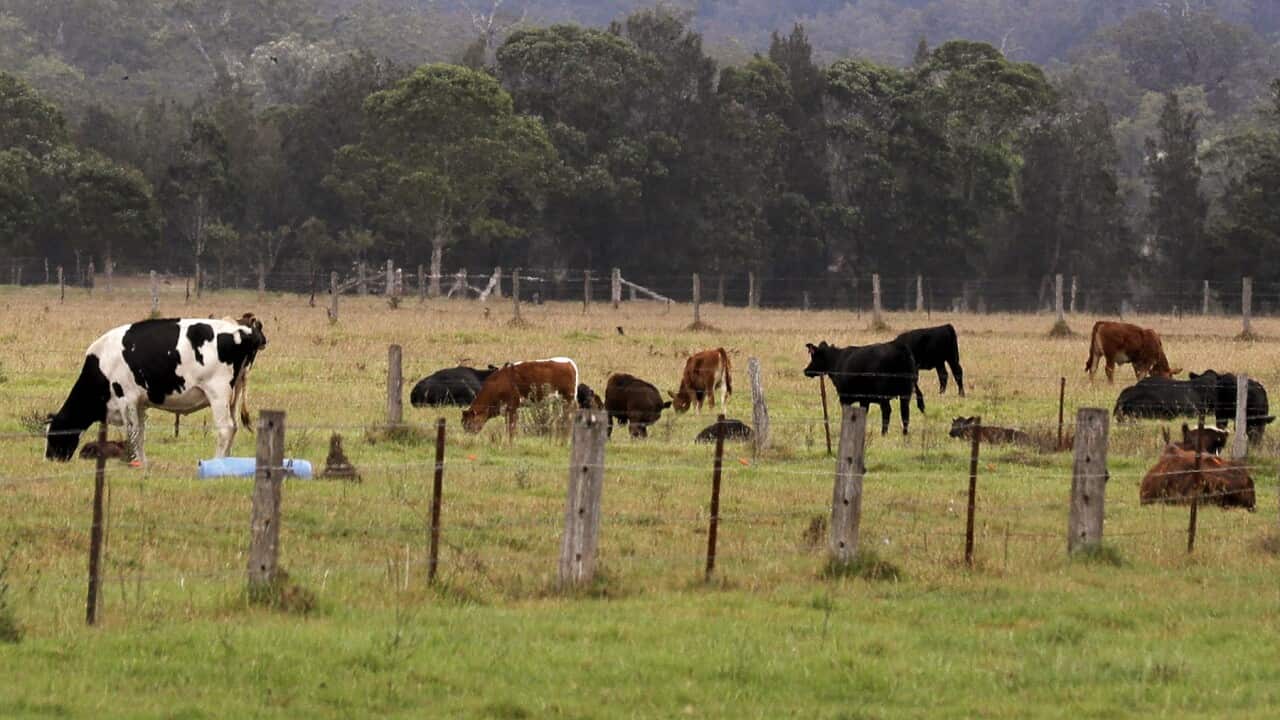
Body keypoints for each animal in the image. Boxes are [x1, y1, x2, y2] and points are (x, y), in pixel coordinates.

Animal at [46, 317, 267, 465]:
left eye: (53, 434)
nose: (50, 458)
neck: (102, 363)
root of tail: (244, 330)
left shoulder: (127, 399)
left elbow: (133, 432)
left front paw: (134, 462)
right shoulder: (140, 403)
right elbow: (140, 434)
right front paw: (142, 464)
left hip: (218, 392)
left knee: (225, 428)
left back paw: (218, 462)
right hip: (234, 393)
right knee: (234, 427)